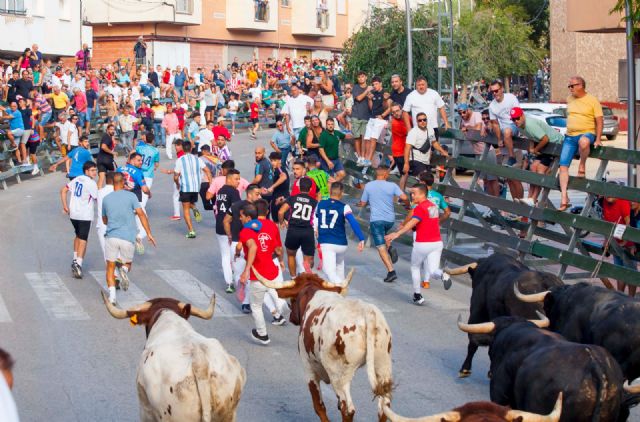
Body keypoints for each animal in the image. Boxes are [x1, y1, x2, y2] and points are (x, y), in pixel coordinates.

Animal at [252, 268, 392, 422]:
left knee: (348, 409)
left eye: (293, 299)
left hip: (339, 375)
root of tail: (366, 313)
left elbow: (319, 406)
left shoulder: (309, 368)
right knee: (383, 407)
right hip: (383, 367)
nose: (291, 317)